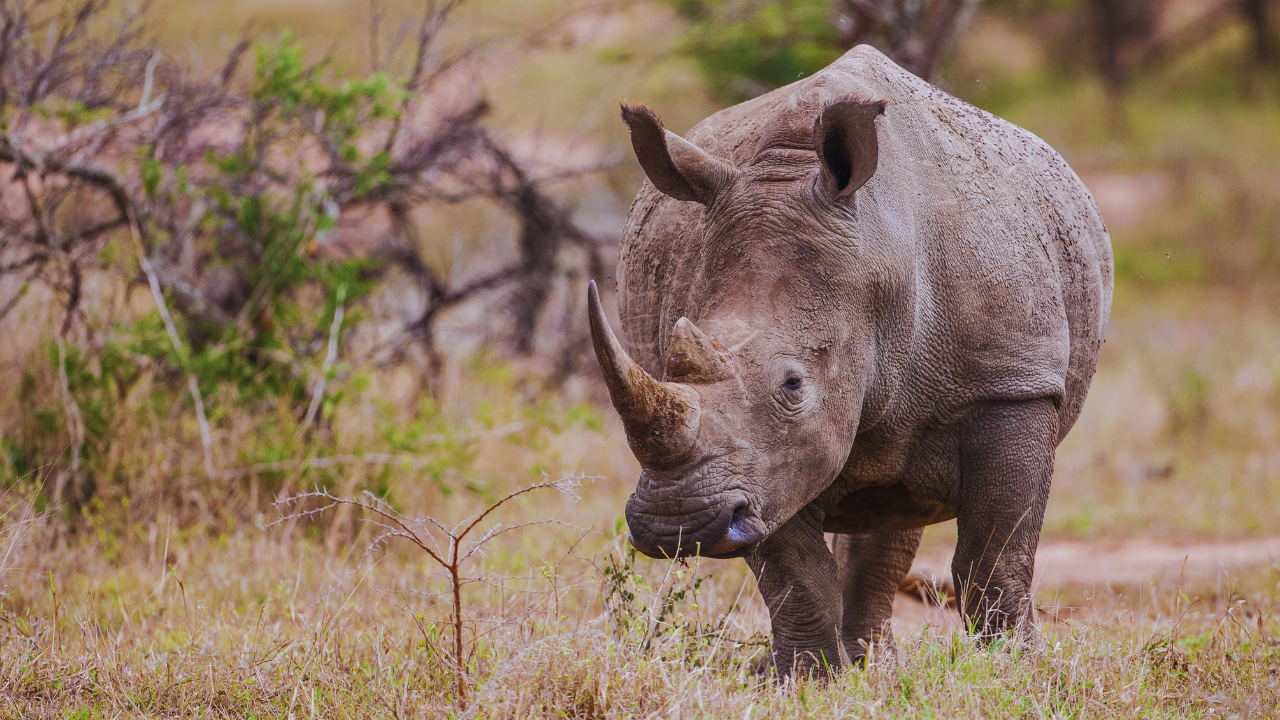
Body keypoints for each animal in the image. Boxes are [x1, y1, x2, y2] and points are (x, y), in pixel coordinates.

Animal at [588, 45, 1112, 677]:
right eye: (667, 363)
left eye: (793, 384)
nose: (675, 525)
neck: (879, 261)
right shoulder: (764, 463)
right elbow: (796, 575)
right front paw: (805, 680)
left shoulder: (1012, 383)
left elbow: (995, 555)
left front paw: (1016, 670)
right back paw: (866, 666)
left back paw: (878, 664)